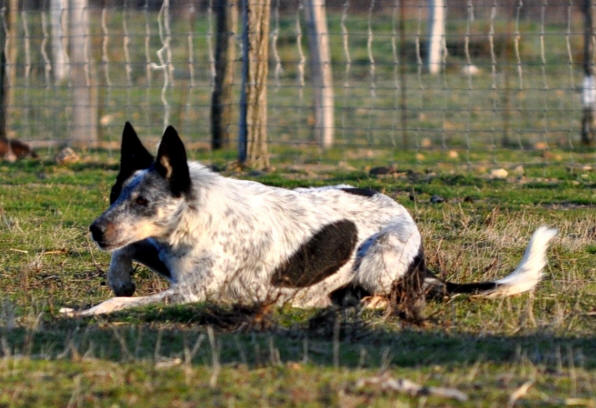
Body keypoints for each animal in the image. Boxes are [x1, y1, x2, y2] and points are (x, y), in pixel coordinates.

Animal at [60, 122, 560, 318]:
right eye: (115, 196)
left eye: (144, 200)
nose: (95, 230)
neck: (194, 216)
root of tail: (425, 266)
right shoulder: (166, 258)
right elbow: (129, 249)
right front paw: (117, 277)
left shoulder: (190, 292)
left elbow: (113, 305)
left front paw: (87, 309)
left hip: (380, 258)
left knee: (388, 297)